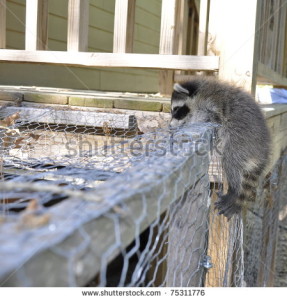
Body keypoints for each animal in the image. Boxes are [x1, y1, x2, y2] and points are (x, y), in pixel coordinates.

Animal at [171, 77, 272, 218]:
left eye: (176, 109)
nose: (170, 125)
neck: (199, 93)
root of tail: (263, 151)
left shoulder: (210, 105)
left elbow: (209, 118)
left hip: (242, 140)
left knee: (231, 160)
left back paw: (234, 190)